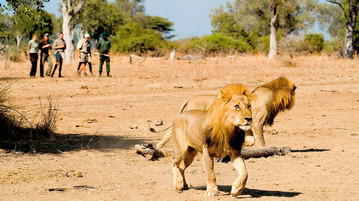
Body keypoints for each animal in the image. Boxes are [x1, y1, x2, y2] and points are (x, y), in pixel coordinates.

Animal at [153, 77, 296, 149]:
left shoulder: (248, 124)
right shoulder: (256, 123)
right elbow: (260, 139)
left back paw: (160, 145)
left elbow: (250, 140)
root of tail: (190, 98)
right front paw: (264, 148)